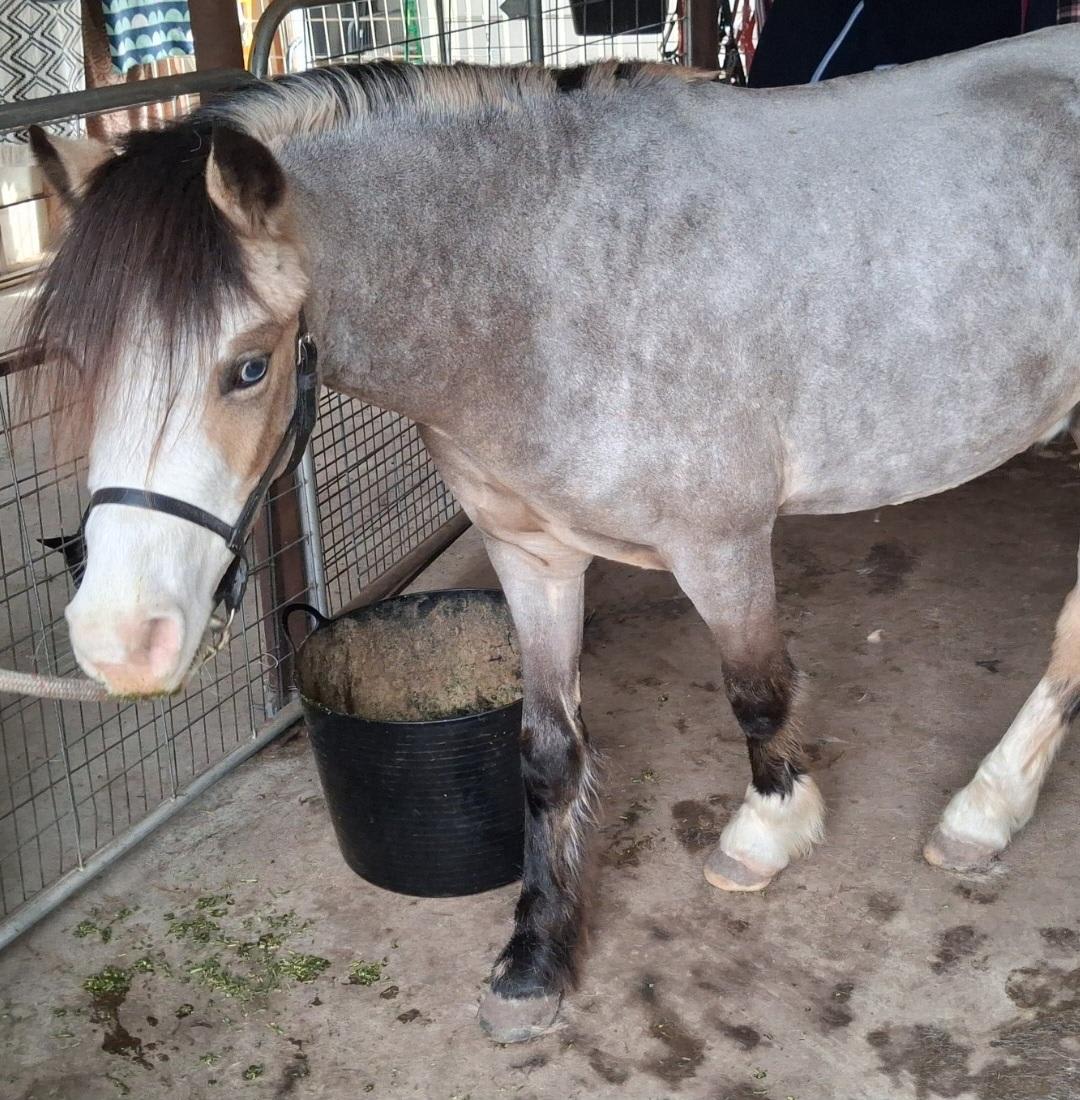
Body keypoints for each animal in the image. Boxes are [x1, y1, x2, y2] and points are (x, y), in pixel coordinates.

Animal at [22, 28, 1080, 1042]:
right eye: (77, 359)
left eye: (248, 367)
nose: (120, 641)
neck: (552, 286)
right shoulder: (529, 553)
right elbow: (544, 753)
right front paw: (535, 959)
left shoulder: (723, 548)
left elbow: (758, 697)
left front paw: (766, 834)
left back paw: (983, 812)